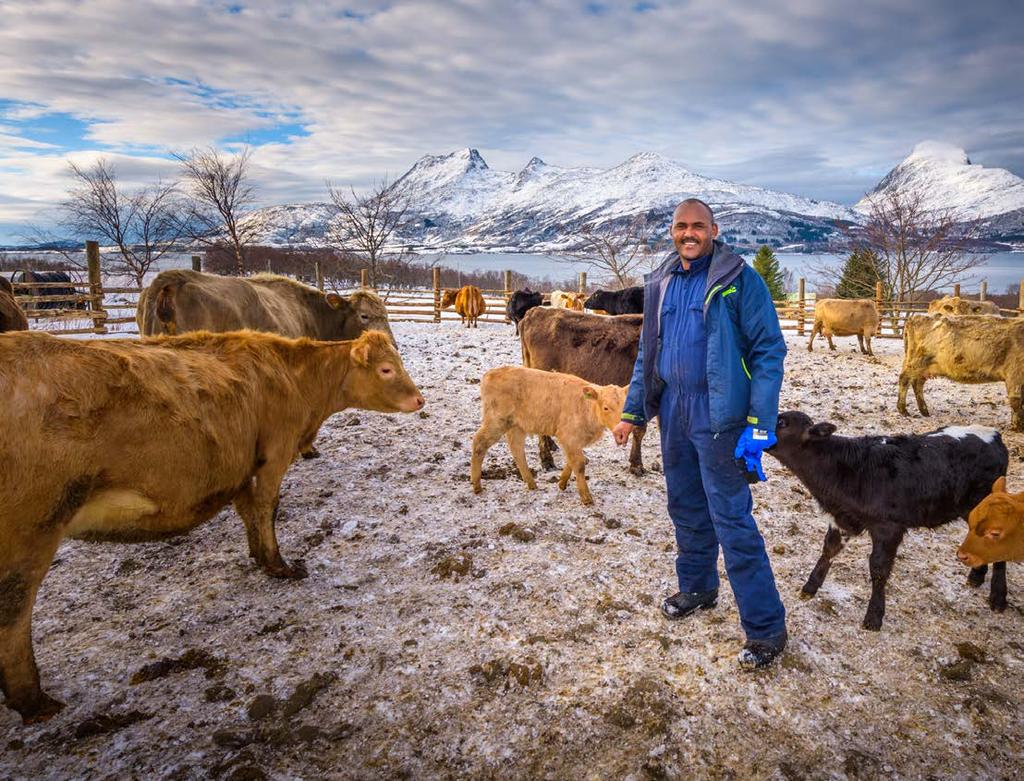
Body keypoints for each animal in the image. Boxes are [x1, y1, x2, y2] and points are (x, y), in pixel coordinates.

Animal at [0, 327, 423, 724]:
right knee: (13, 613)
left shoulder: (241, 468)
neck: (293, 378)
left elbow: (249, 511)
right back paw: (34, 701)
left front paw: (260, 558)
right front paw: (279, 565)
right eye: (386, 369)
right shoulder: (274, 454)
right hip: (32, 528)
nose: (420, 399)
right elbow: (266, 507)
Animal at [468, 366, 622, 507]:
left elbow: (572, 461)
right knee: (479, 443)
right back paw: (477, 486)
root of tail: (492, 373)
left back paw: (531, 483)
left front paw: (562, 483)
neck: (586, 406)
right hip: (496, 421)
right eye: (606, 407)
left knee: (517, 449)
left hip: (516, 425)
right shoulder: (569, 437)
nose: (619, 427)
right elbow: (579, 464)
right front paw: (586, 498)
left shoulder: (575, 441)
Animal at [770, 411, 1007, 630]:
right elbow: (829, 550)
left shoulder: (888, 527)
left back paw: (998, 597)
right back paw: (977, 576)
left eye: (782, 422)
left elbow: (878, 569)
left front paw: (874, 616)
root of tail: (995, 436)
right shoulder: (843, 519)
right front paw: (810, 587)